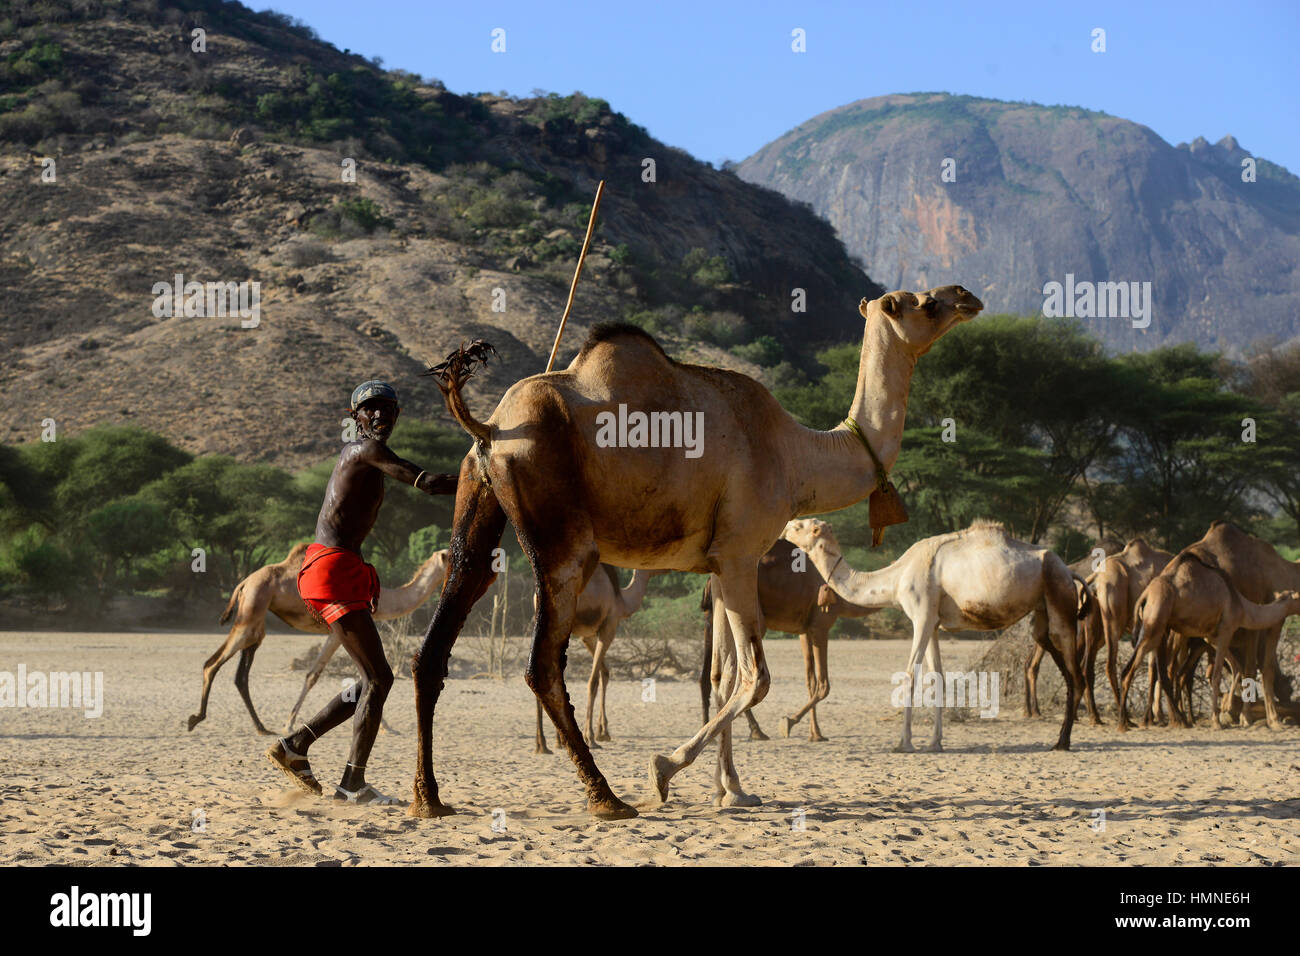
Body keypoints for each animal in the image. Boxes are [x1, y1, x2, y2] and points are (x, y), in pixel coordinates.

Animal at [188, 543, 448, 734]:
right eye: (450, 555)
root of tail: (243, 582)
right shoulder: (338, 630)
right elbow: (314, 674)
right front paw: (290, 723)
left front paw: (386, 726)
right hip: (251, 611)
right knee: (213, 663)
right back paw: (196, 718)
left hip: (256, 619)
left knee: (241, 674)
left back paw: (260, 727)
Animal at [533, 565, 661, 754]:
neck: (621, 601)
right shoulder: (609, 626)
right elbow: (593, 681)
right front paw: (591, 737)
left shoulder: (587, 636)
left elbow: (604, 673)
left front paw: (603, 732)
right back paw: (549, 743)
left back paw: (545, 744)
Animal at [698, 537, 879, 741]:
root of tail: (709, 583)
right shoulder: (820, 624)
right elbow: (823, 684)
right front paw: (789, 723)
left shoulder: (804, 631)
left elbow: (811, 682)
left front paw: (816, 734)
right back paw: (756, 731)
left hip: (710, 620)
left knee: (708, 676)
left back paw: (711, 732)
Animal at [783, 517, 1091, 751]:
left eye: (800, 525)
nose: (784, 526)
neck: (896, 579)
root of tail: (1070, 571)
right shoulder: (933, 624)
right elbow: (937, 678)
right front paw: (934, 743)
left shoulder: (920, 615)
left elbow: (909, 675)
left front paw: (903, 744)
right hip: (1043, 612)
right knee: (1059, 661)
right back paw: (1061, 738)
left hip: (1060, 596)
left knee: (1076, 673)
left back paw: (1062, 742)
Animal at [1119, 549, 1300, 730]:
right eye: (1298, 598)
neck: (1241, 605)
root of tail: (1145, 595)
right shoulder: (1227, 629)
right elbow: (1217, 675)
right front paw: (1217, 721)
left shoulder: (1211, 637)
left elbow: (1236, 667)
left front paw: (1227, 706)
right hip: (1155, 624)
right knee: (1134, 670)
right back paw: (1127, 723)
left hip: (1160, 628)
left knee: (1157, 672)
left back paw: (1168, 720)